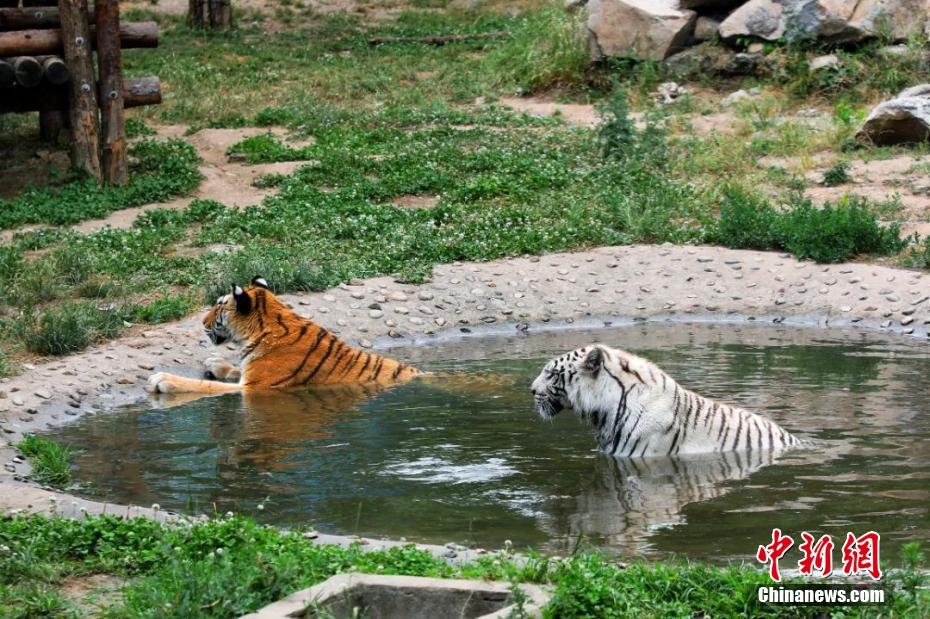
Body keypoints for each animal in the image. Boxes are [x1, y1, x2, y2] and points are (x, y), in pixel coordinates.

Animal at [147, 278, 422, 398]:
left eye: (218, 306)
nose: (202, 322)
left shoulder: (255, 387)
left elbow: (206, 386)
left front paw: (163, 380)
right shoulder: (251, 372)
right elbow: (235, 369)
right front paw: (215, 363)